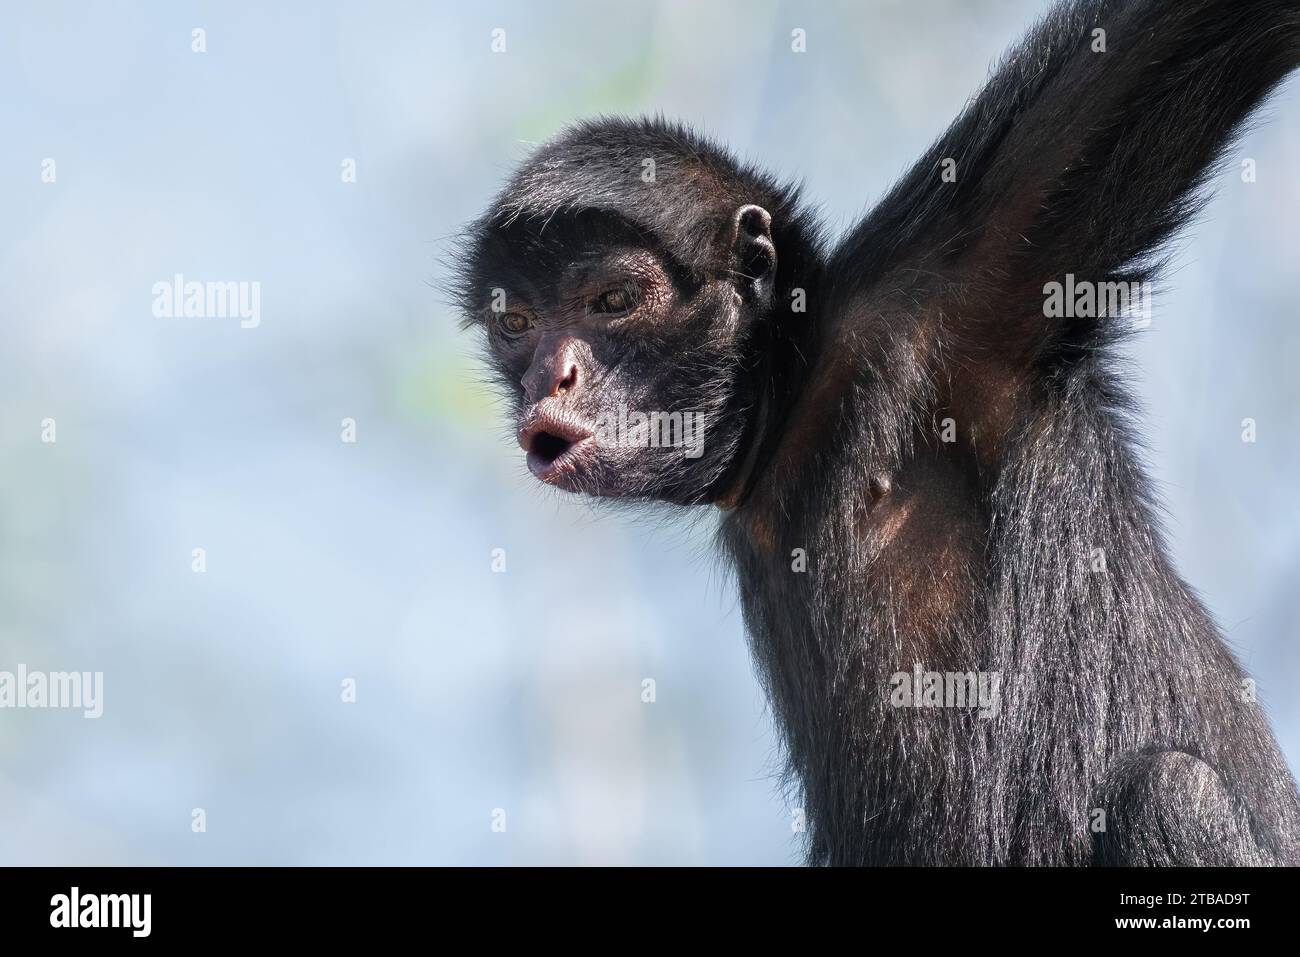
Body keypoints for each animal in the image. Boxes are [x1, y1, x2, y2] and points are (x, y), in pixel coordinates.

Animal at [453, 0, 1300, 865]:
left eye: (615, 301)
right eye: (518, 325)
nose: (551, 376)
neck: (797, 413)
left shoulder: (941, 294)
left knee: (1172, 789)